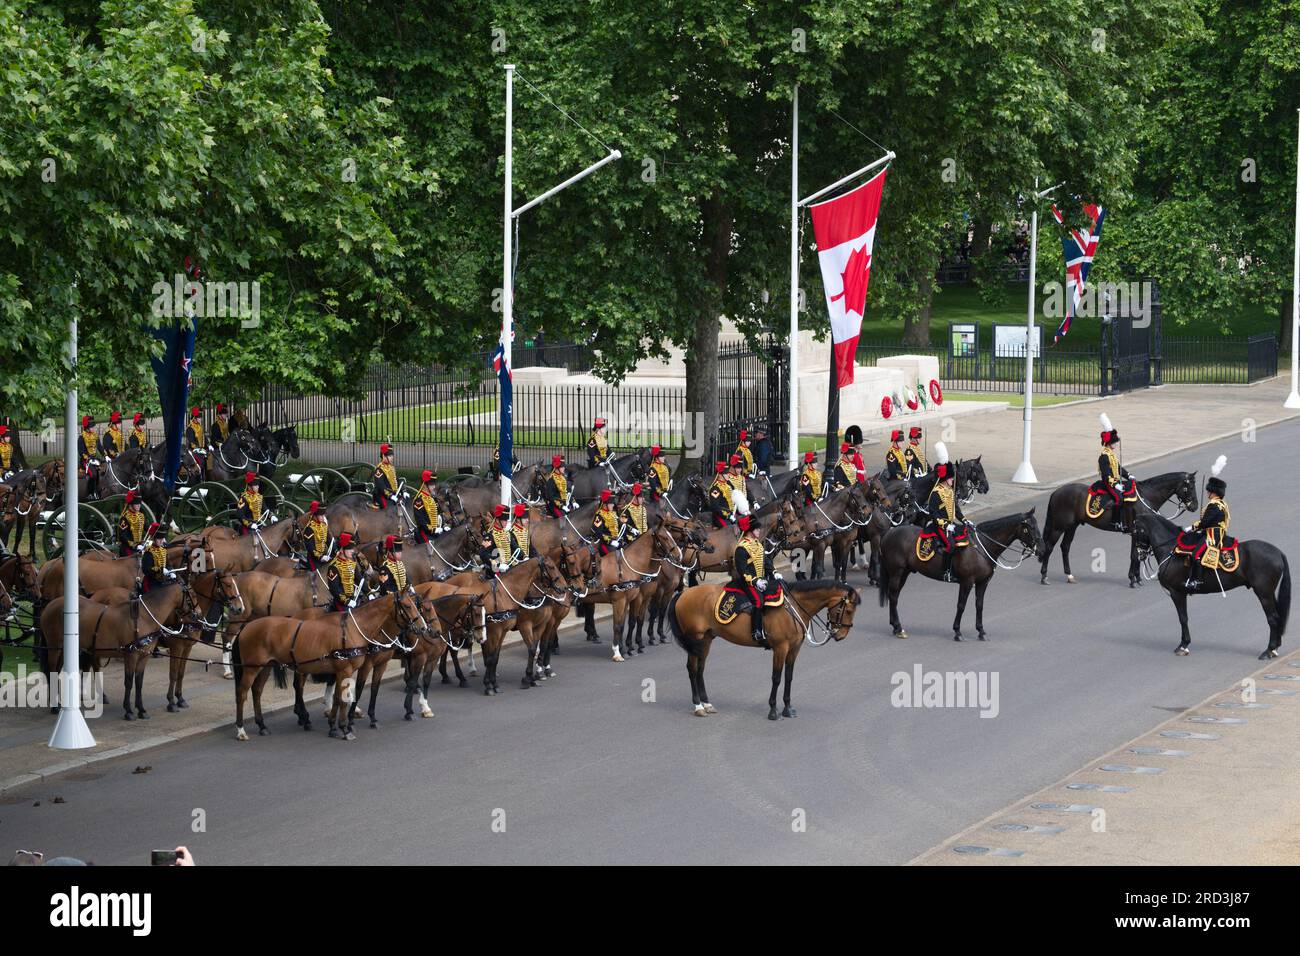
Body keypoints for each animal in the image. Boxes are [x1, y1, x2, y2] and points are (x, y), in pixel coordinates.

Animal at [670, 580, 863, 723]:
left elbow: (789, 676)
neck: (792, 608)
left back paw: (707, 704)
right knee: (692, 669)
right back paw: (698, 706)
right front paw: (773, 710)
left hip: (706, 640)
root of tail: (684, 593)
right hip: (695, 638)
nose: (841, 635)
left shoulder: (794, 648)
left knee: (700, 669)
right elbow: (776, 678)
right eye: (849, 610)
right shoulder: (780, 647)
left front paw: (787, 708)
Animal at [873, 509, 1045, 642]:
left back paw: (895, 627)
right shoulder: (967, 582)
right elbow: (961, 605)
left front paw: (981, 631)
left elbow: (979, 605)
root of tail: (888, 532)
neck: (982, 546)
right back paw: (898, 628)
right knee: (893, 596)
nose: (1042, 549)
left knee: (893, 596)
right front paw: (957, 632)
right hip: (897, 572)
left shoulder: (983, 582)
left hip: (904, 573)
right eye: (1029, 527)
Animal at [1034, 468, 1196, 587]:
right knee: (1049, 547)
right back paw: (1044, 576)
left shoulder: (1140, 534)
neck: (1146, 497)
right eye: (1188, 487)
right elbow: (1134, 555)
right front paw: (1133, 580)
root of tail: (1057, 492)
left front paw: (1137, 578)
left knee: (1065, 547)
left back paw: (1069, 575)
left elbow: (1137, 555)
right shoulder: (1136, 532)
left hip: (1072, 527)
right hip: (1059, 527)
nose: (1194, 506)